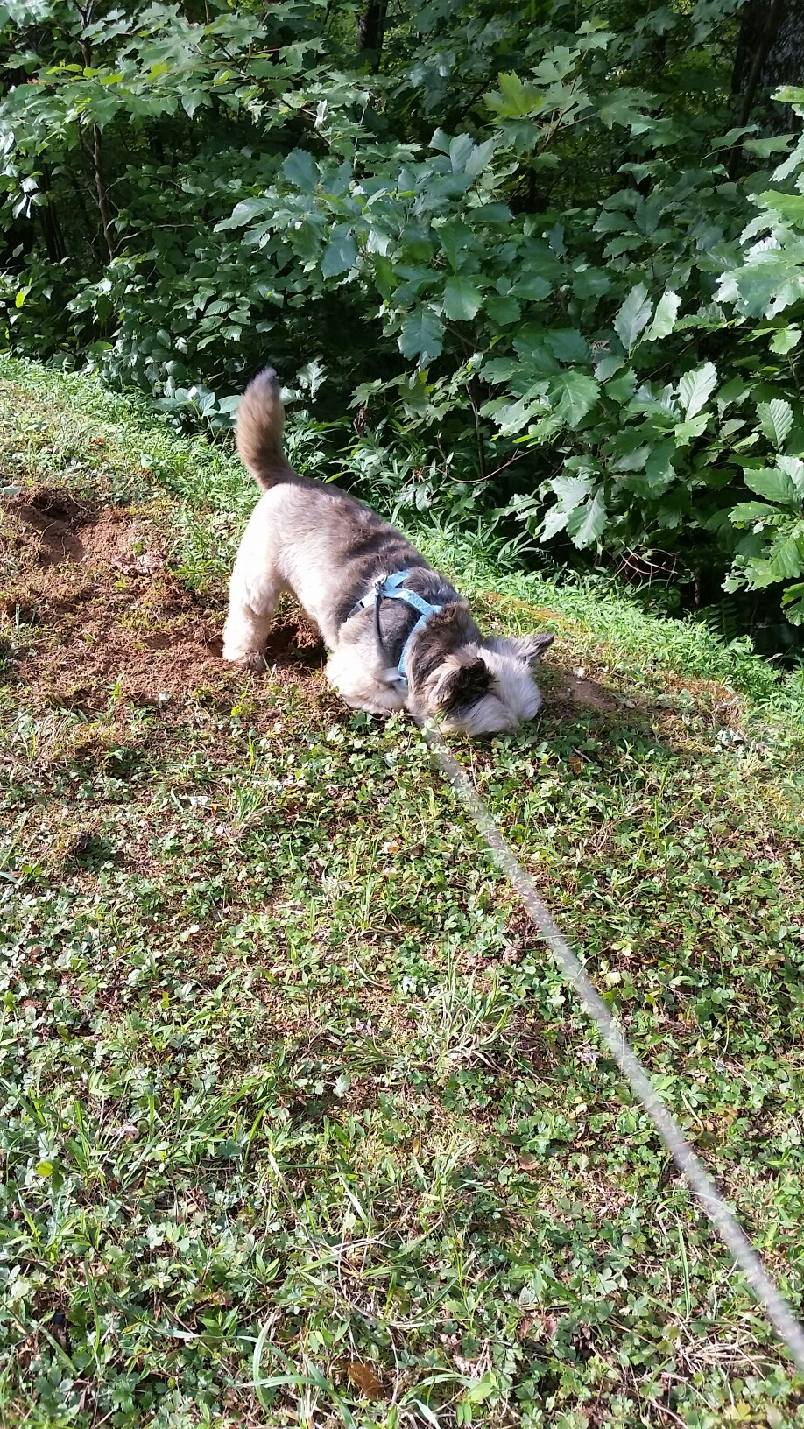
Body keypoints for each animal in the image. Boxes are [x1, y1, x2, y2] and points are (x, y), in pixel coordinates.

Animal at [222, 368, 554, 735]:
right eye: (493, 736)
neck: (425, 632)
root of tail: (288, 477)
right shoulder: (354, 671)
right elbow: (394, 699)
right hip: (259, 578)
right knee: (249, 613)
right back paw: (244, 653)